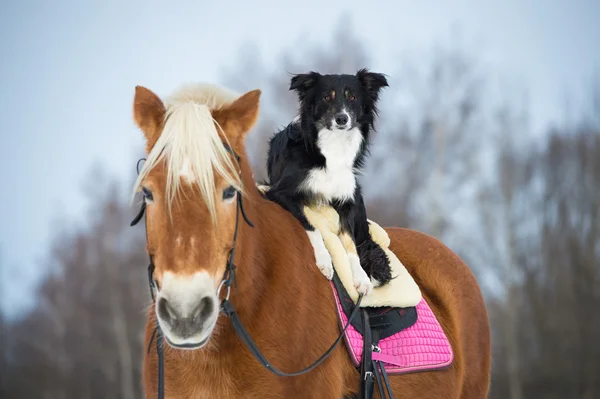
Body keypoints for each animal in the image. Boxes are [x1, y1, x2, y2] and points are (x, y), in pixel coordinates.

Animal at [264, 69, 392, 296]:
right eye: (326, 97)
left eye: (353, 97)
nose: (342, 119)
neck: (334, 146)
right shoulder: (280, 192)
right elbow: (311, 224)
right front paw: (325, 261)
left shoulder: (347, 202)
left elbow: (349, 242)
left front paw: (360, 276)